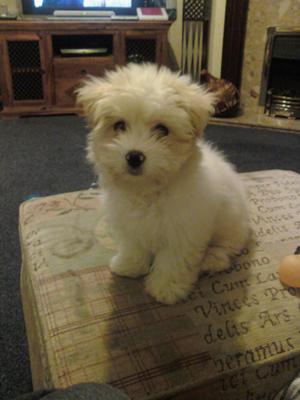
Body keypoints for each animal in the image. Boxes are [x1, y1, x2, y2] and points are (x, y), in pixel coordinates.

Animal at [76, 64, 250, 304]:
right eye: (119, 125)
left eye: (162, 130)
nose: (134, 156)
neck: (148, 191)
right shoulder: (130, 224)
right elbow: (134, 246)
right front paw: (129, 266)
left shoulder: (182, 231)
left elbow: (172, 261)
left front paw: (166, 289)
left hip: (231, 225)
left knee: (228, 247)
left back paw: (212, 260)